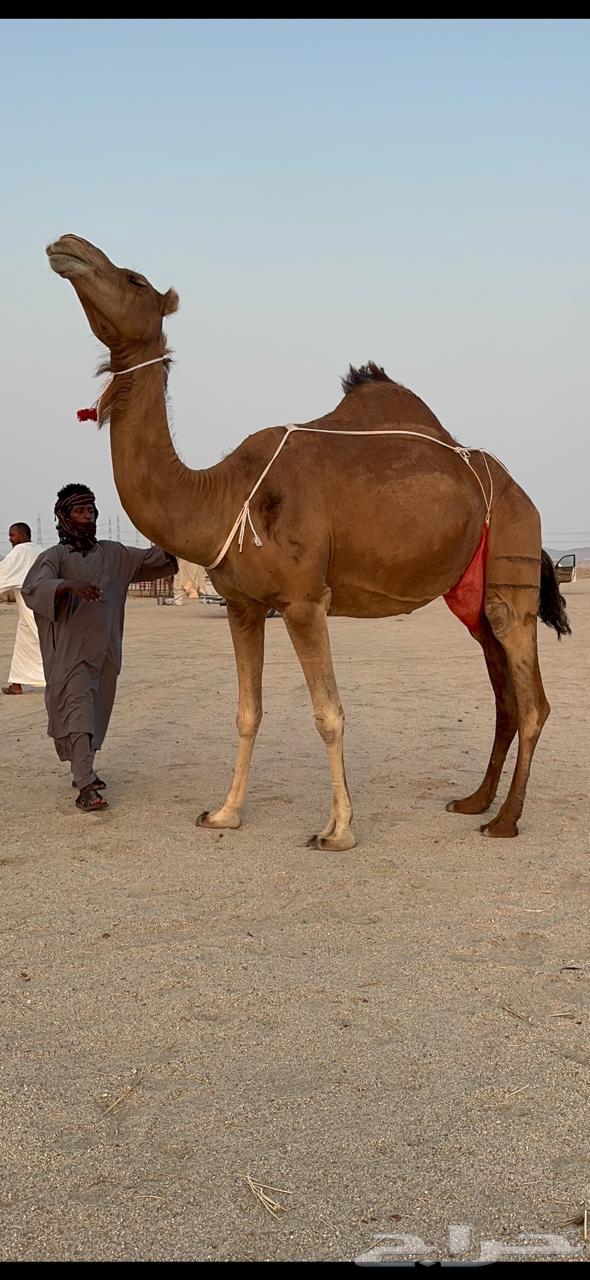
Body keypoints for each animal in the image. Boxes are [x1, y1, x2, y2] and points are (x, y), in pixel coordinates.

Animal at [46, 234, 570, 849]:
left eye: (133, 278)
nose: (68, 246)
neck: (222, 494)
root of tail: (522, 495)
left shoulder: (302, 600)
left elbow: (329, 713)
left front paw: (338, 830)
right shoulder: (244, 605)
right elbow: (247, 711)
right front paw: (224, 813)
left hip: (511, 557)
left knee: (532, 699)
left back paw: (505, 821)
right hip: (470, 592)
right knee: (505, 696)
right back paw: (474, 801)